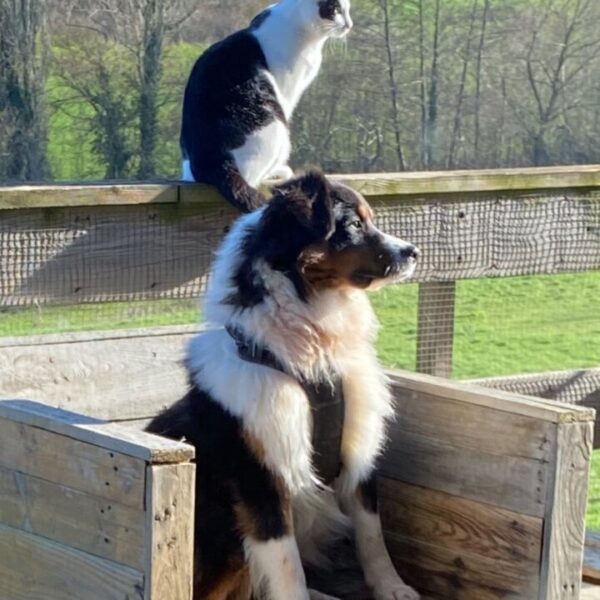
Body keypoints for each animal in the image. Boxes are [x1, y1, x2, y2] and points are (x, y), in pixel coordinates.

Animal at [147, 170, 420, 600]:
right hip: (222, 531)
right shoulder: (261, 477)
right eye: (353, 226)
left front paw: (391, 587)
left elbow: (371, 532)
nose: (413, 252)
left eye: (370, 220)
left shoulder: (358, 447)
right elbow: (288, 565)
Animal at [180, 0, 354, 211]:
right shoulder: (286, 91)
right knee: (251, 177)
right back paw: (279, 171)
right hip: (274, 125)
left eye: (348, 9)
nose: (349, 24)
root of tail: (207, 161)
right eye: (335, 9)